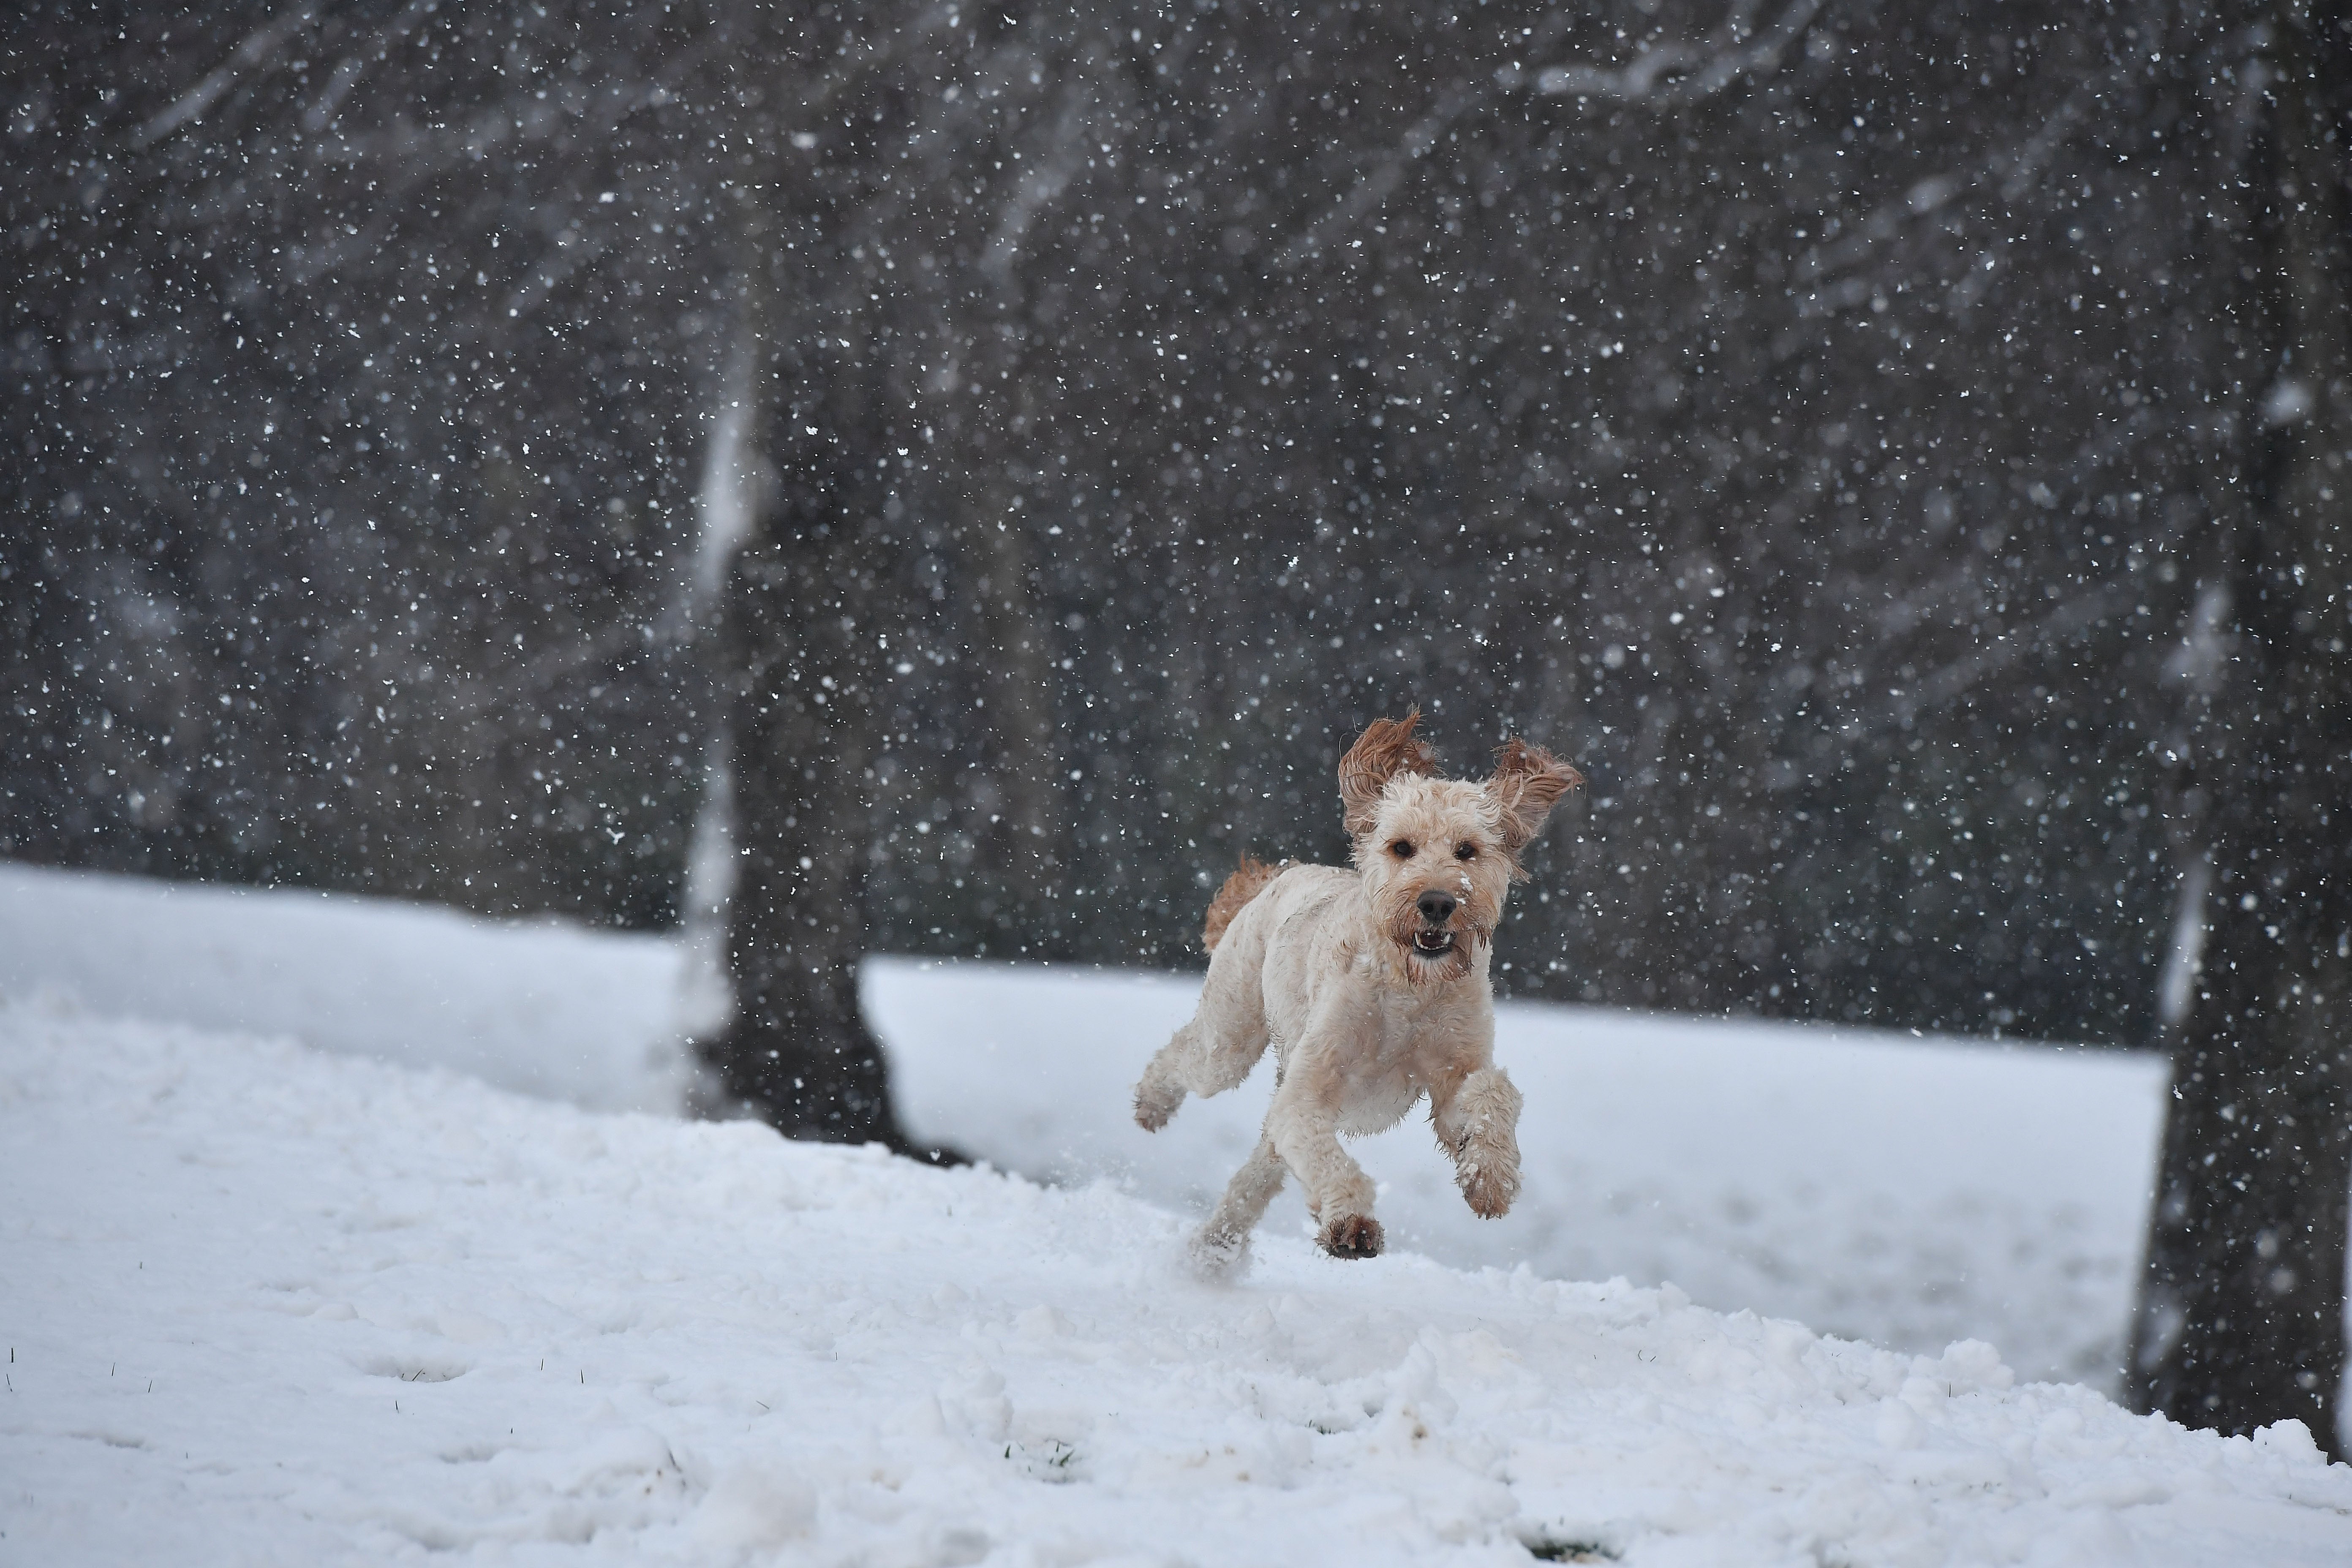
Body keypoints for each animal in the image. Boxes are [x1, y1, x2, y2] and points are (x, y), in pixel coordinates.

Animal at [1133, 710, 1580, 1279]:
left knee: (1257, 1173)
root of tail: (1283, 873)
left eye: (1467, 850)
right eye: (1402, 847)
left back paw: (1215, 1247)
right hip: (1230, 1038)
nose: (1437, 903)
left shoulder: (1451, 1076)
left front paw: (1490, 1176)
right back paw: (1152, 1105)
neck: (1411, 993)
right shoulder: (1309, 1089)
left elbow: (1492, 1092)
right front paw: (1351, 1222)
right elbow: (1325, 1155)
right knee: (1187, 1058)